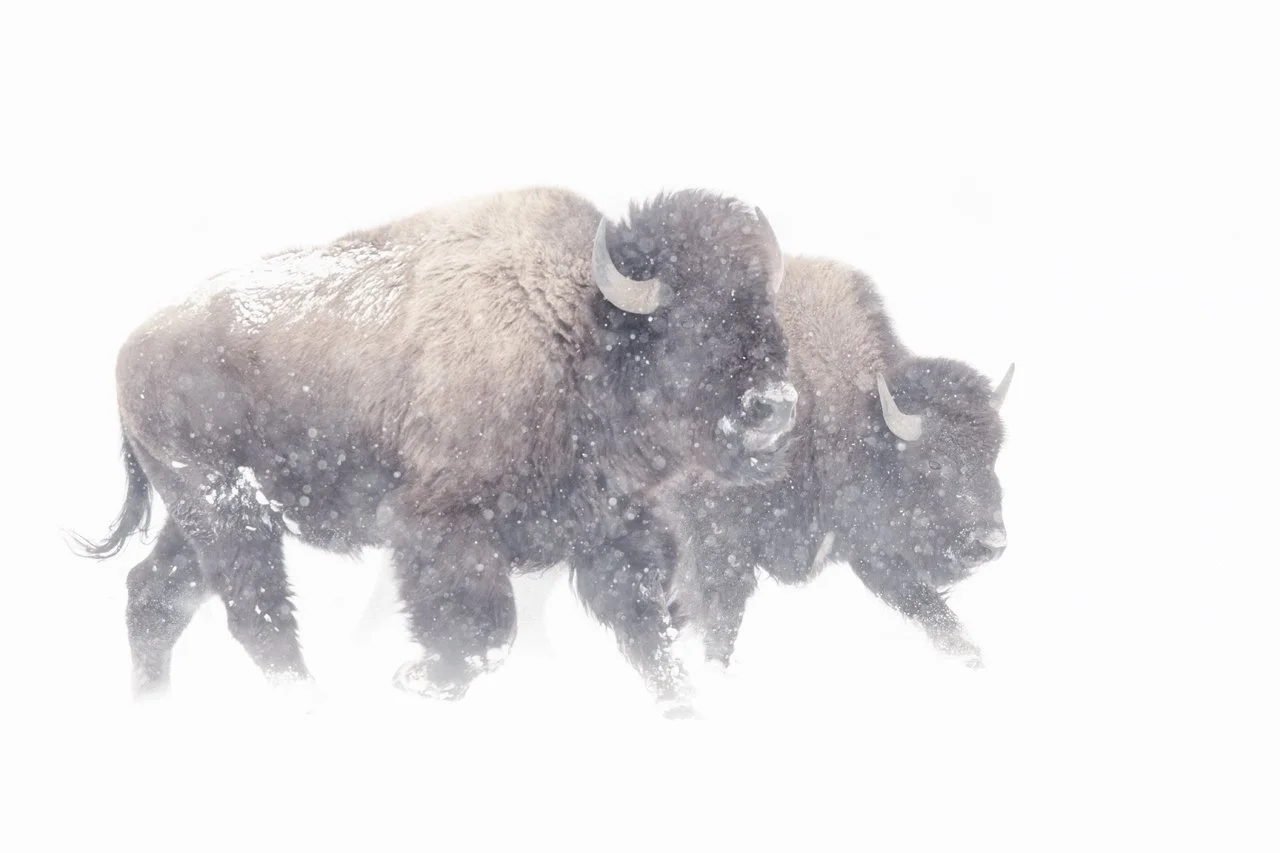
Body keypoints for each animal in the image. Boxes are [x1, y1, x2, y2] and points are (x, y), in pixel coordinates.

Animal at [76, 186, 797, 717]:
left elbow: (650, 630)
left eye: (767, 306)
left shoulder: (612, 530)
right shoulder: (437, 525)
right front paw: (418, 678)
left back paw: (154, 702)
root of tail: (131, 347)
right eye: (698, 320)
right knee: (257, 615)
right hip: (225, 505)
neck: (576, 327)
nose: (777, 404)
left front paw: (682, 710)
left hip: (198, 515)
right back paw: (310, 707)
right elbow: (485, 630)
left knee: (157, 596)